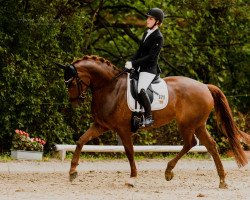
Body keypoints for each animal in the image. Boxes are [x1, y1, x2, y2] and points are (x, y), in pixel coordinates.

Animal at [55, 55, 249, 188]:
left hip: (187, 124)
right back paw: (222, 180)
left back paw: (169, 171)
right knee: (210, 145)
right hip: (198, 124)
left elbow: (129, 152)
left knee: (191, 143)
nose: (74, 102)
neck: (110, 87)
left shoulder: (123, 129)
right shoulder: (101, 125)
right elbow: (81, 141)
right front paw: (72, 172)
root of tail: (205, 86)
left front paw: (132, 178)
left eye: (71, 83)